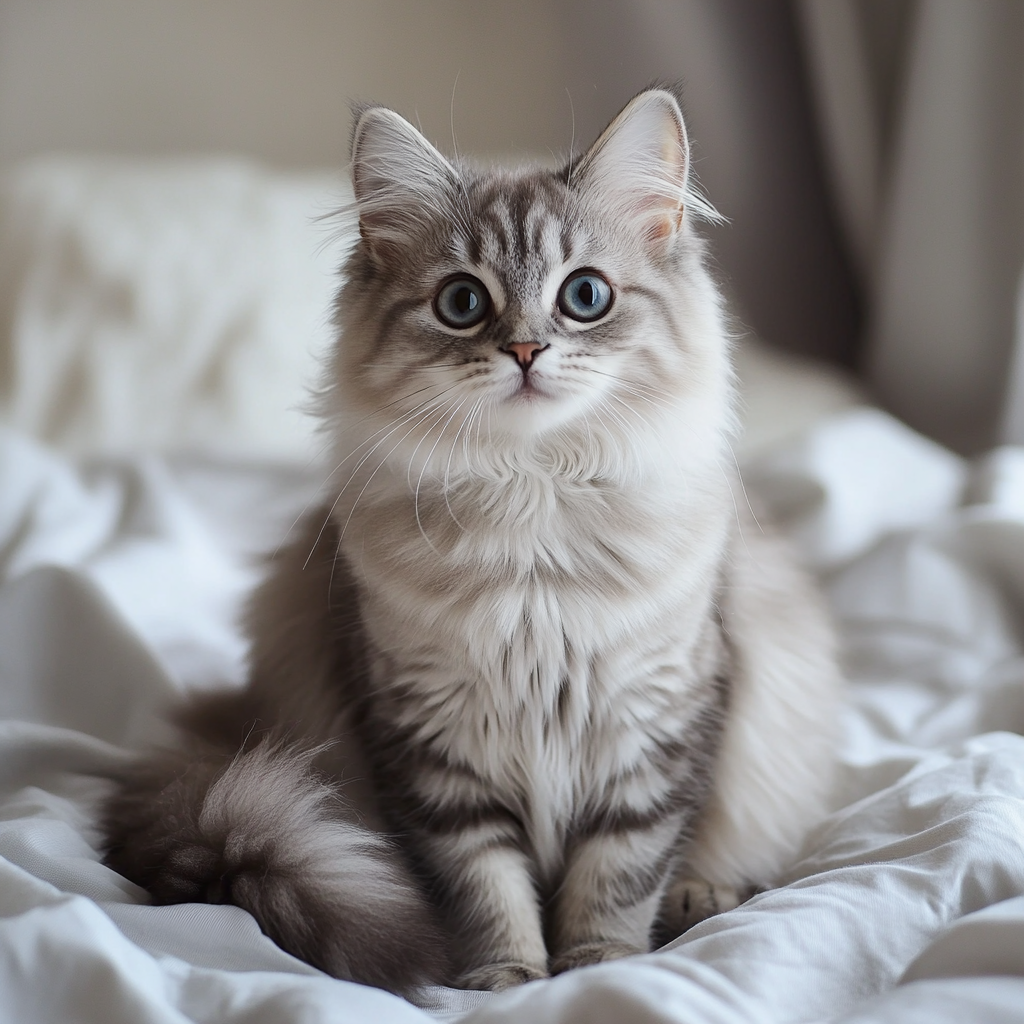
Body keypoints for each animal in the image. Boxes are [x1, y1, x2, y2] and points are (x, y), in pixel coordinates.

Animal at [99, 86, 843, 991]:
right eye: (462, 303)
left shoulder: (658, 727)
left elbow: (617, 876)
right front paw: (507, 980)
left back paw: (704, 894)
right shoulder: (430, 747)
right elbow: (482, 885)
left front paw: (597, 970)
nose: (524, 349)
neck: (534, 500)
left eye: (585, 296)